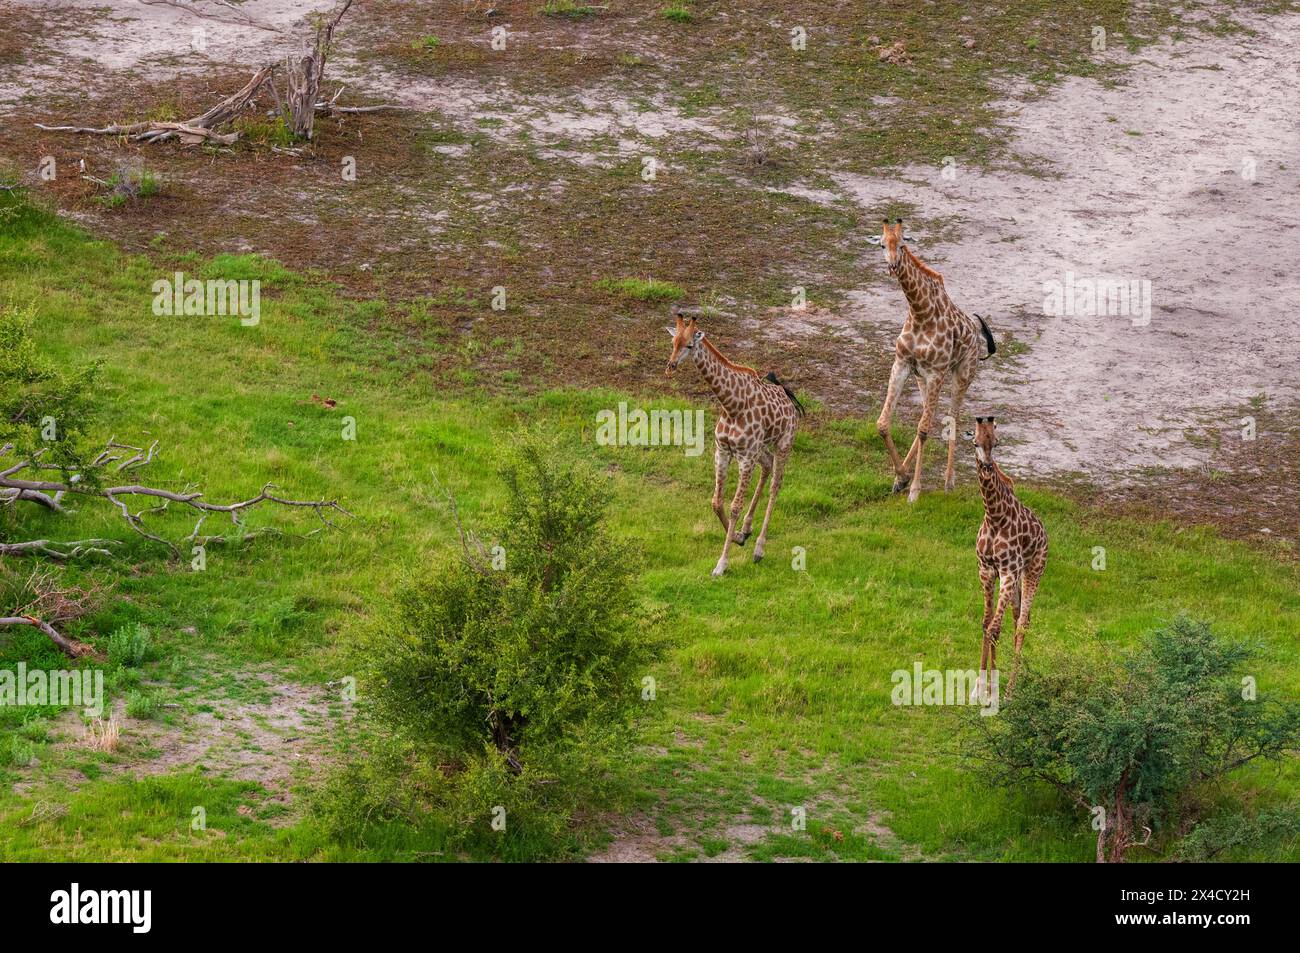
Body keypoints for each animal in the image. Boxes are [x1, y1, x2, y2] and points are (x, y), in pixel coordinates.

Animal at [665, 309, 803, 577]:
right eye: (673, 342)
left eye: (689, 345)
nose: (671, 366)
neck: (731, 405)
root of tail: (788, 397)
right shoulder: (723, 451)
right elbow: (716, 502)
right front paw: (738, 536)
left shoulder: (745, 457)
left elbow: (734, 506)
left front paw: (722, 564)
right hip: (760, 448)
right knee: (767, 466)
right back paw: (747, 530)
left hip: (783, 443)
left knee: (776, 484)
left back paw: (759, 549)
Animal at [870, 218, 997, 502]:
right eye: (882, 244)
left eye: (902, 245)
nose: (892, 266)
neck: (920, 313)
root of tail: (977, 332)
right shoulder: (902, 364)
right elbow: (883, 423)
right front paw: (901, 478)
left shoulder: (936, 372)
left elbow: (925, 430)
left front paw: (915, 491)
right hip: (922, 378)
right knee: (930, 414)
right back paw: (906, 476)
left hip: (962, 374)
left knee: (952, 417)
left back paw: (949, 482)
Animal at [971, 416, 1047, 701]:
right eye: (975, 442)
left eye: (997, 442)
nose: (987, 466)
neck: (994, 516)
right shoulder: (986, 570)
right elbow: (986, 625)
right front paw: (980, 687)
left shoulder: (1007, 572)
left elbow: (994, 628)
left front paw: (992, 691)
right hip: (1016, 579)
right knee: (1015, 619)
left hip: (1033, 570)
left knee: (1024, 622)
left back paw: (1012, 690)